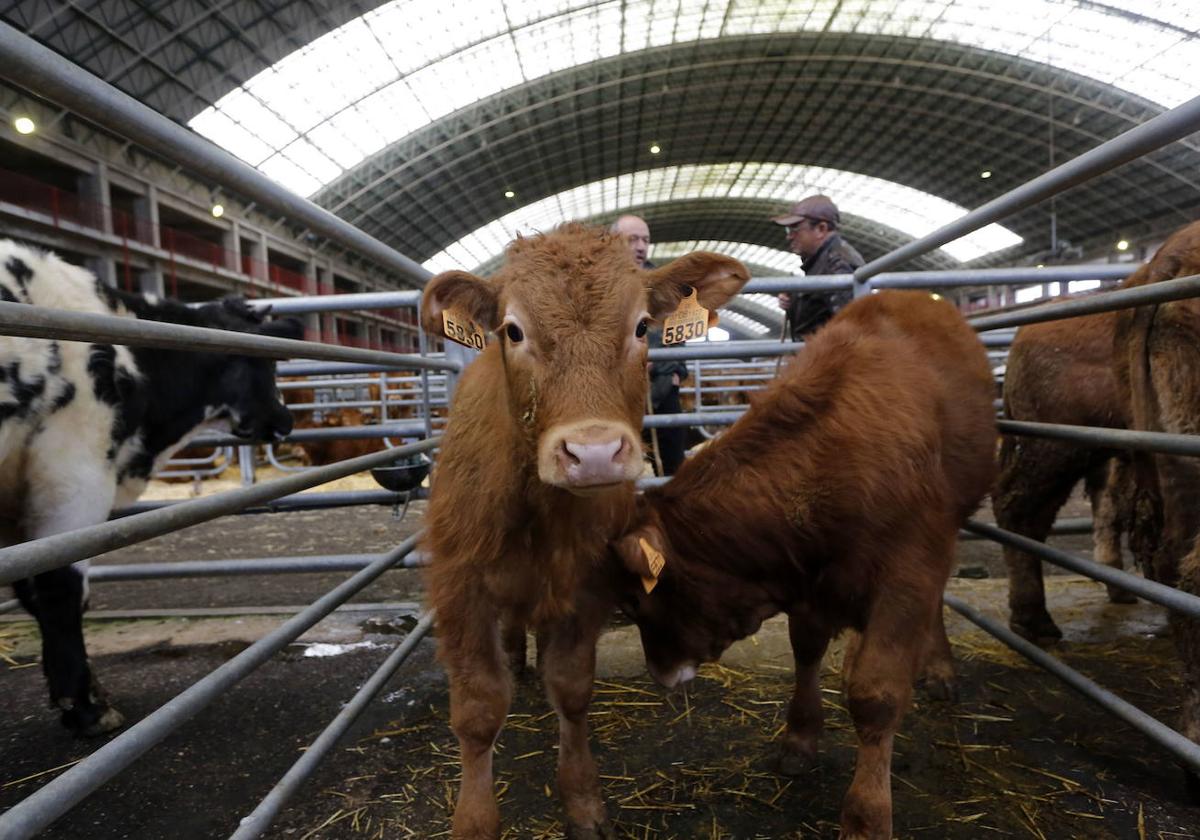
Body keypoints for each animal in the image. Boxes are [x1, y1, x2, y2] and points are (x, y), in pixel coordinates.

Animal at [1, 241, 300, 734]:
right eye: (265, 362)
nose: (287, 420)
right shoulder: (73, 474)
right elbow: (61, 587)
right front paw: (87, 708)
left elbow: (33, 591)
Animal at [417, 224, 744, 840]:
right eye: (513, 329)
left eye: (641, 326)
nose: (592, 453)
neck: (539, 512)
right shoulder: (460, 587)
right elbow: (477, 711)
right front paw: (475, 819)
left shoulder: (588, 584)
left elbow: (571, 689)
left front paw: (584, 801)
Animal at [609, 291, 993, 835]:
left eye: (634, 605)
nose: (659, 675)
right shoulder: (811, 584)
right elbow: (806, 651)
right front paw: (800, 735)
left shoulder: (909, 572)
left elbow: (877, 694)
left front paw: (866, 815)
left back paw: (938, 667)